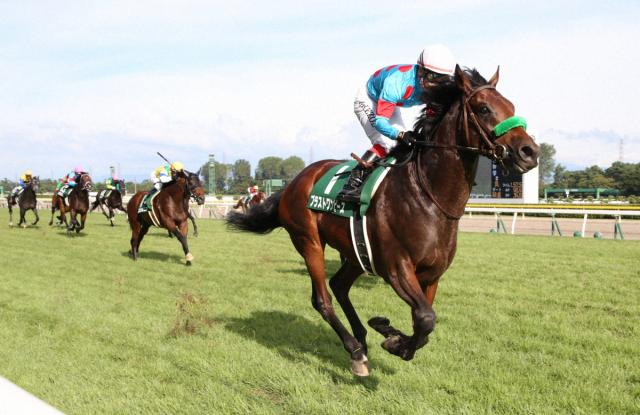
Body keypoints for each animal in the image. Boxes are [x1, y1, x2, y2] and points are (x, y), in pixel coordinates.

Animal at [226, 66, 540, 376]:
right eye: (484, 108)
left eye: (511, 107)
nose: (530, 151)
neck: (428, 197)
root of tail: (296, 181)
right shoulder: (396, 268)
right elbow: (426, 317)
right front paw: (393, 339)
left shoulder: (432, 275)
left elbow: (424, 324)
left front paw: (390, 333)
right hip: (309, 241)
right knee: (322, 299)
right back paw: (355, 351)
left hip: (355, 252)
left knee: (339, 286)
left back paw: (362, 340)